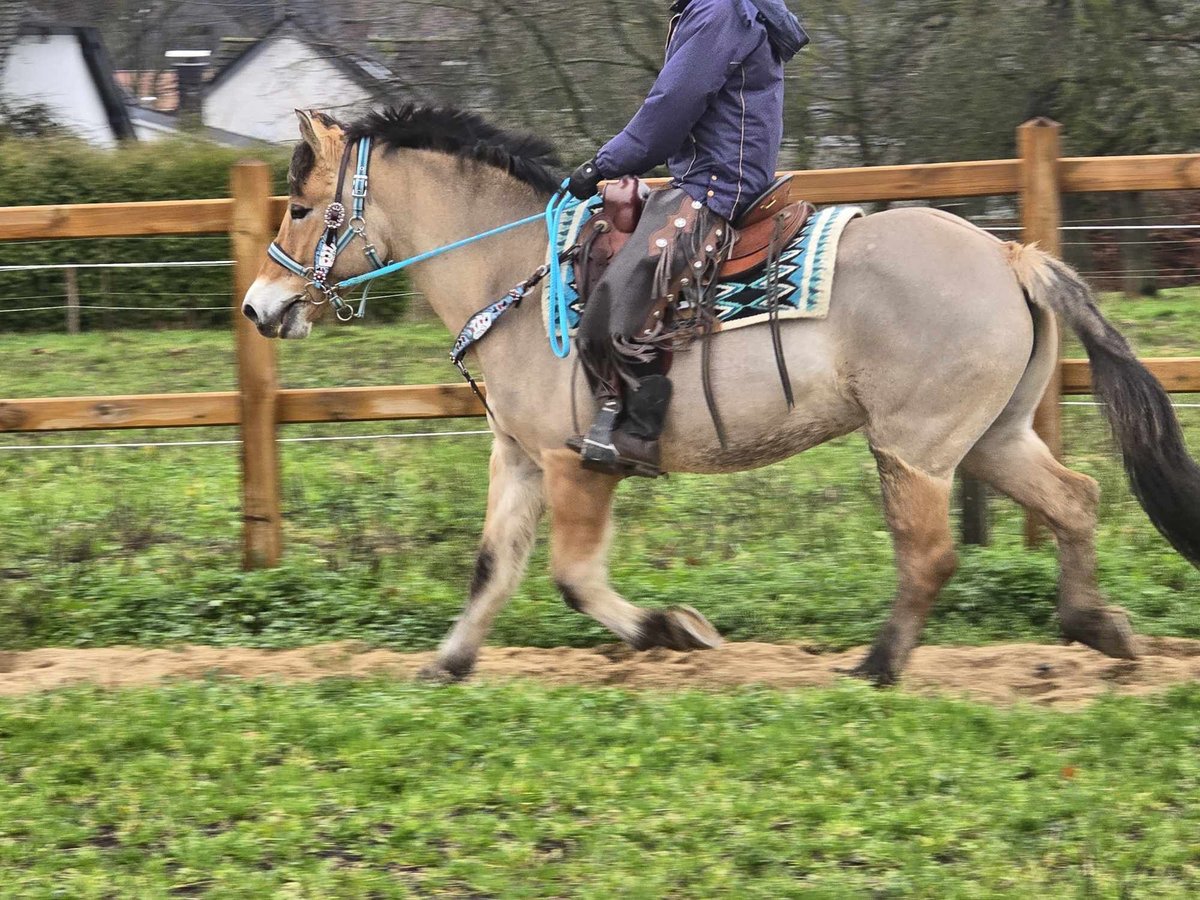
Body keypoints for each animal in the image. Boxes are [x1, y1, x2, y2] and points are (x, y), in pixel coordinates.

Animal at [238, 105, 1200, 681]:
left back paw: (878, 666)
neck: (515, 268)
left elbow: (573, 576)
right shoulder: (518, 456)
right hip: (992, 437)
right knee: (1075, 499)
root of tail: (1008, 254)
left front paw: (674, 629)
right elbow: (492, 569)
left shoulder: (576, 464)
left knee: (929, 554)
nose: (258, 306)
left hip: (915, 449)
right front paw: (447, 663)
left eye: (300, 206)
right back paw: (1098, 629)